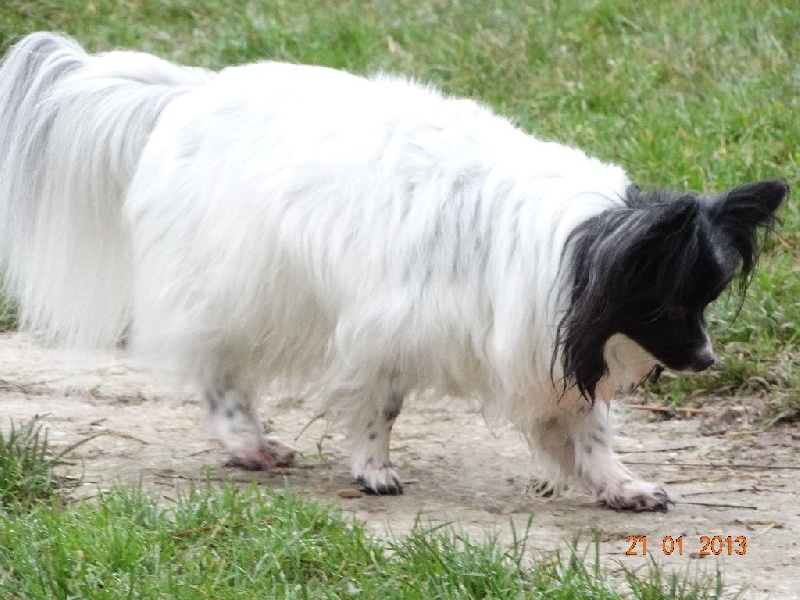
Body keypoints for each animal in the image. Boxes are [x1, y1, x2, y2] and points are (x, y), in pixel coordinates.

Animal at [0, 34, 788, 510]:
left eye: (708, 301)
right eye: (669, 305)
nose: (708, 361)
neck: (567, 247)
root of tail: (189, 94)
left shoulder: (554, 345)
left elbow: (590, 429)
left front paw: (620, 486)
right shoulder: (388, 328)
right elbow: (381, 408)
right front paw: (372, 469)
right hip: (237, 289)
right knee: (219, 372)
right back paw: (249, 444)